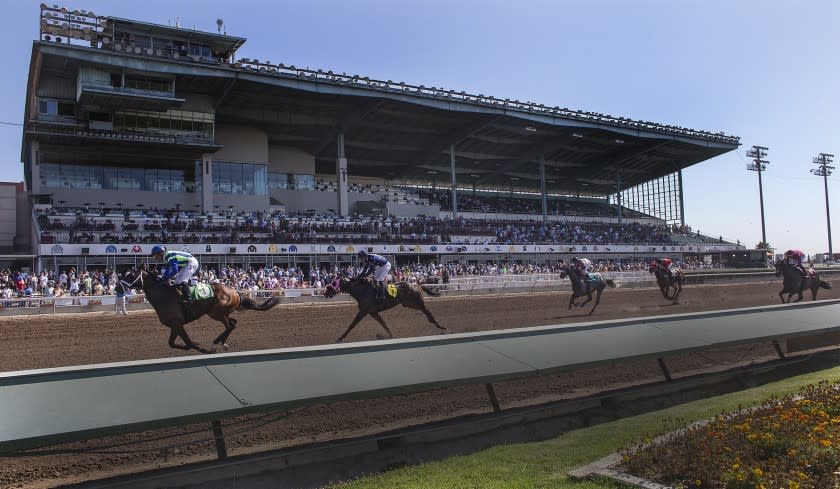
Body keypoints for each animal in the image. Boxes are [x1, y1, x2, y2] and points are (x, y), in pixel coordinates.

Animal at [124, 264, 280, 352]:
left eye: (131, 275)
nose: (121, 286)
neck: (163, 295)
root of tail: (235, 291)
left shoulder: (177, 322)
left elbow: (185, 341)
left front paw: (199, 347)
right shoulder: (175, 325)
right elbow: (173, 343)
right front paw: (192, 345)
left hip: (217, 313)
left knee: (229, 325)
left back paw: (215, 344)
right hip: (222, 313)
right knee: (233, 324)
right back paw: (221, 343)